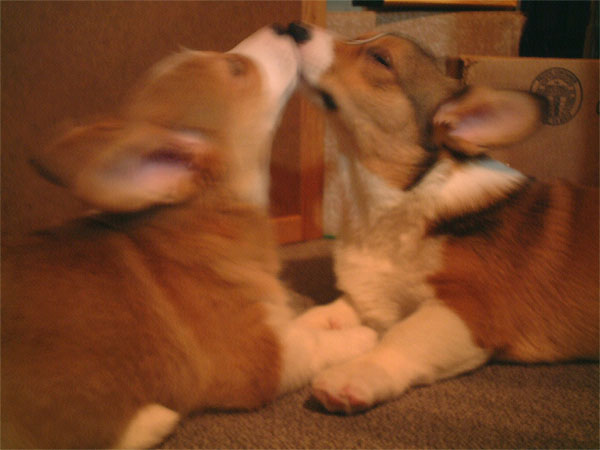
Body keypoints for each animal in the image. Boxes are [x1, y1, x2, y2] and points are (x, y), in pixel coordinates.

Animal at [1, 26, 377, 448]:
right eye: (236, 68)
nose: (288, 29)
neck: (210, 219)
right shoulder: (258, 360)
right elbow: (311, 344)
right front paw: (360, 336)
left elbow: (300, 322)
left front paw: (326, 317)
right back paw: (153, 420)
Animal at [285, 23, 599, 414]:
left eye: (381, 59)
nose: (294, 28)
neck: (404, 193)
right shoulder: (371, 297)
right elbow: (323, 314)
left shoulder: (470, 309)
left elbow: (404, 336)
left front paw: (353, 375)